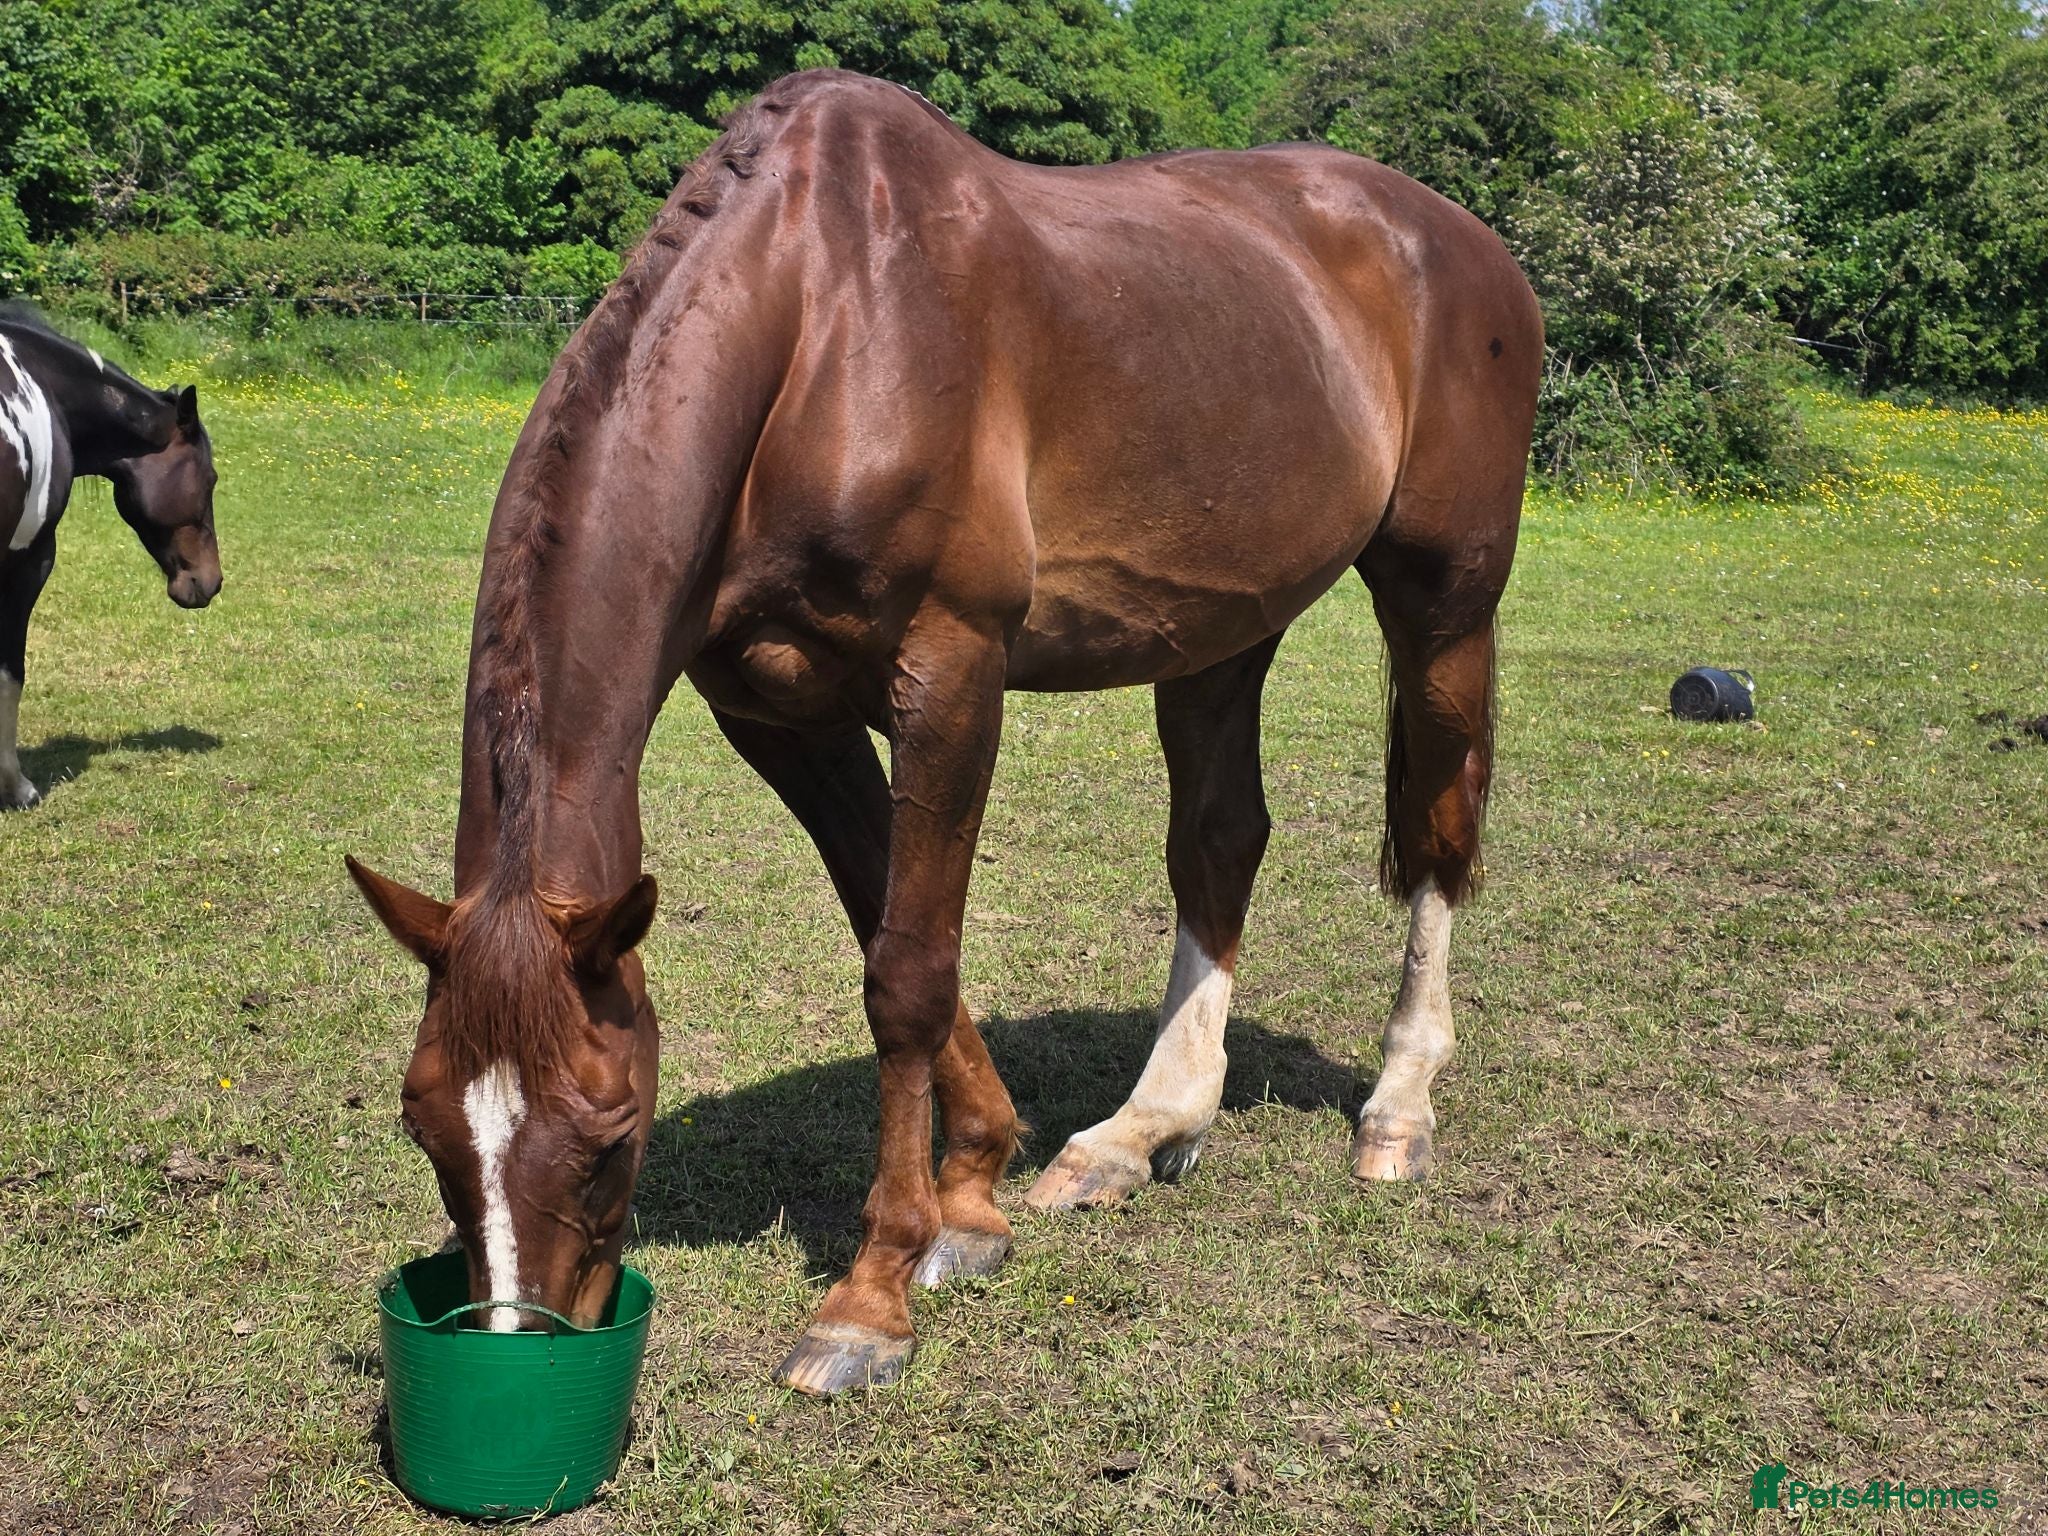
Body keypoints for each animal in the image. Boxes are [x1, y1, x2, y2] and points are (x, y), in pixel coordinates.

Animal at [347, 69, 1540, 1396]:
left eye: (611, 1136)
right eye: (423, 1125)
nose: (521, 1343)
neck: (818, 325)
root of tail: (1459, 240)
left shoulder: (952, 676)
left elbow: (908, 975)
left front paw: (872, 1297)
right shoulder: (781, 715)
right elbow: (886, 924)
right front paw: (974, 1192)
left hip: (1443, 600)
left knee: (1438, 828)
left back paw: (1396, 1110)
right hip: (1222, 628)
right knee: (1220, 841)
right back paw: (1142, 1131)